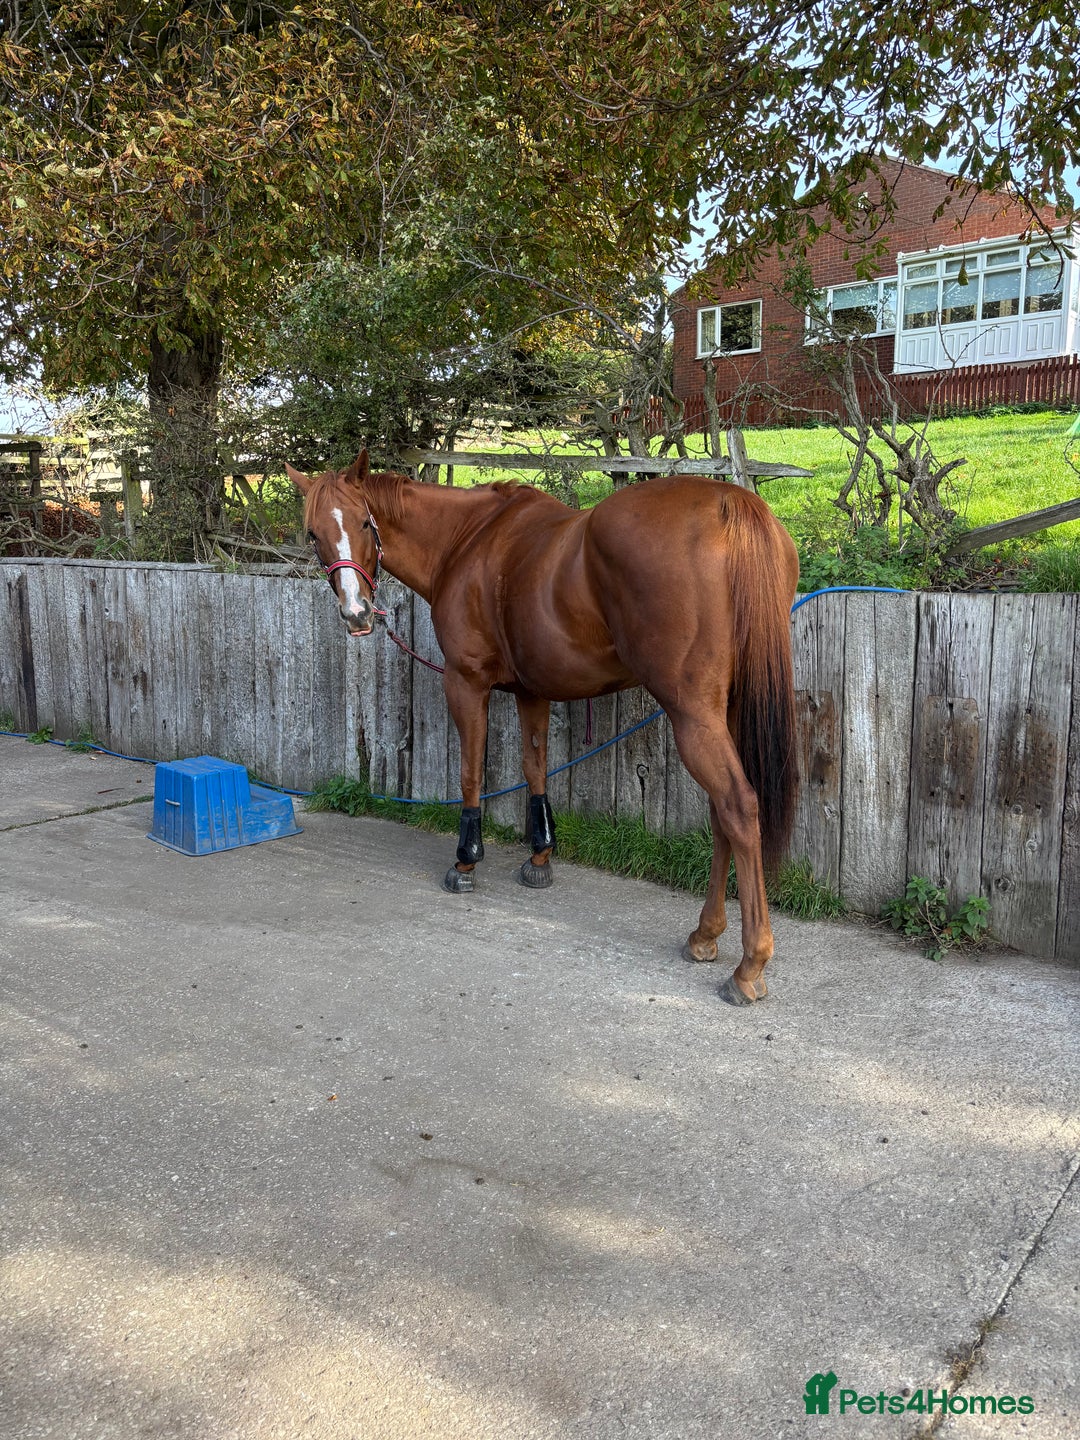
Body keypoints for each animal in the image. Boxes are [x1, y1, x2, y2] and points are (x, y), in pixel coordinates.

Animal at [287, 450, 799, 1006]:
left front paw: (466, 861)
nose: (357, 614)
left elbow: (471, 772)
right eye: (313, 533)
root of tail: (729, 503)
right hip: (724, 710)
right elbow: (534, 767)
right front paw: (540, 856)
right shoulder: (532, 691)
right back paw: (705, 934)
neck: (466, 540)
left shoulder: (466, 683)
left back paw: (749, 965)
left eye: (364, 522)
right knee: (721, 815)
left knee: (738, 807)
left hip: (693, 714)